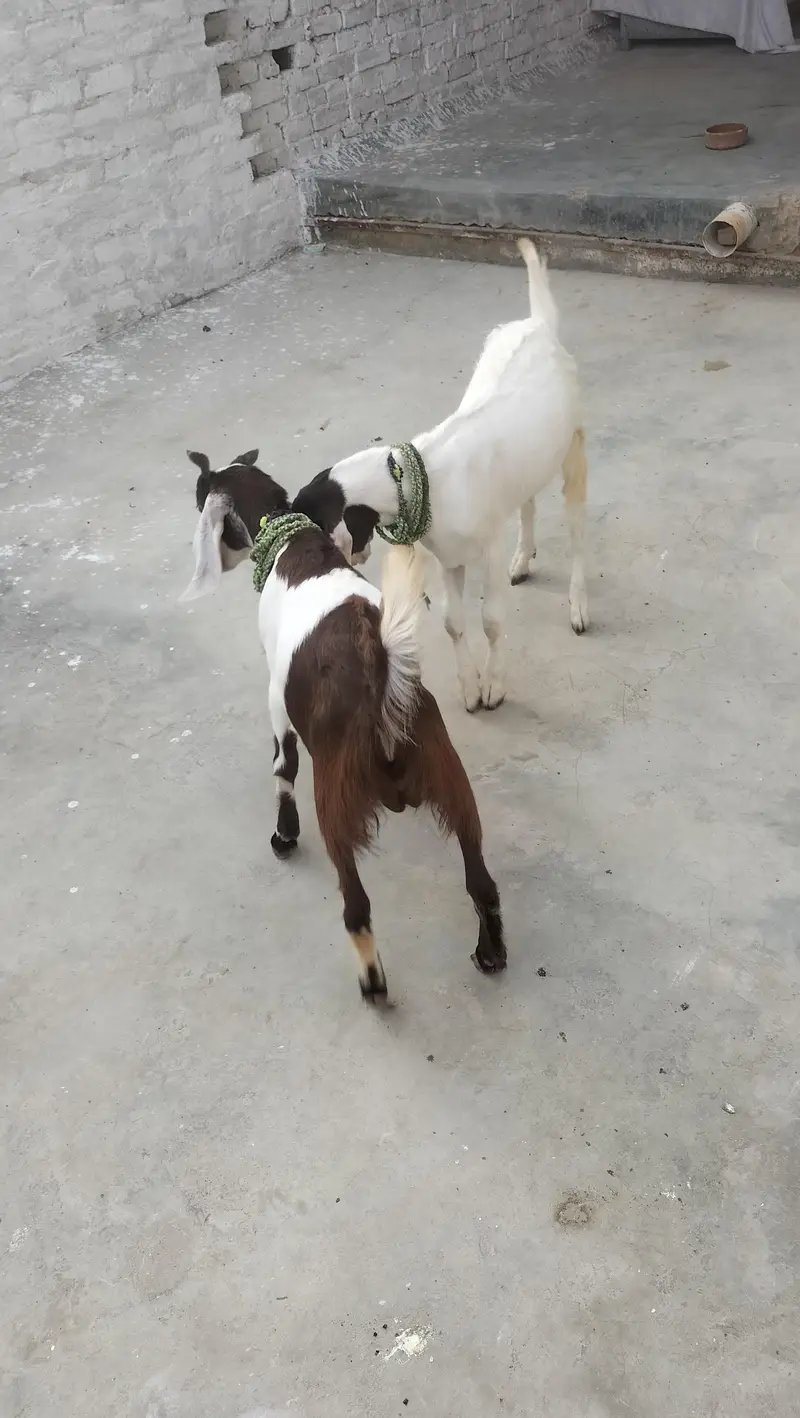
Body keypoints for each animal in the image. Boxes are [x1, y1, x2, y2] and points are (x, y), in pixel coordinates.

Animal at [180, 450, 506, 1001]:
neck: (289, 542)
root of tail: (378, 670)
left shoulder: (276, 697)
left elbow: (282, 766)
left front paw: (284, 835)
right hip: (450, 776)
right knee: (480, 879)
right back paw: (490, 953)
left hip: (334, 794)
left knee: (356, 905)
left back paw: (373, 982)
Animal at [292, 239, 588, 713]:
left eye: (315, 525)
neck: (427, 476)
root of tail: (540, 324)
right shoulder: (449, 555)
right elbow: (452, 622)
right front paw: (469, 688)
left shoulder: (487, 548)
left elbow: (491, 620)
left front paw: (494, 686)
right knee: (527, 501)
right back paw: (523, 560)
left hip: (573, 445)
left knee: (578, 525)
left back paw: (579, 608)